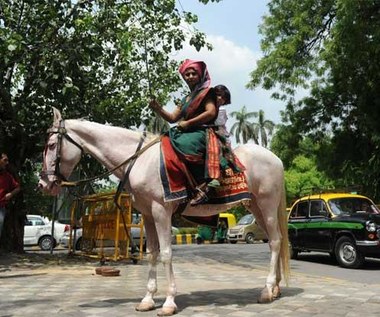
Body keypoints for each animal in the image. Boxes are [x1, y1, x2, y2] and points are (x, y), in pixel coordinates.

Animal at [37, 107, 288, 314]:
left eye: (51, 145)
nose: (43, 184)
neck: (139, 160)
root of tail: (276, 159)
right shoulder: (148, 215)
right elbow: (152, 254)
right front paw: (148, 299)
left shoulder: (161, 212)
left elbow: (166, 254)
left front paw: (168, 302)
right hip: (255, 206)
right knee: (272, 241)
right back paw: (275, 289)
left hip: (267, 204)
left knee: (276, 241)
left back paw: (267, 290)